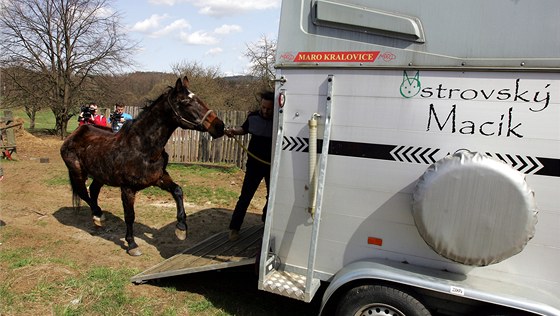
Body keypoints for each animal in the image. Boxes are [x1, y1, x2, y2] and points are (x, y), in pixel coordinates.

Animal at [61, 76, 225, 256]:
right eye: (185, 102)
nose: (219, 126)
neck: (142, 147)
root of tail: (74, 134)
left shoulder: (159, 178)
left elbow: (177, 191)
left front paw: (181, 228)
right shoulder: (127, 189)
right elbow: (130, 215)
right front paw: (132, 244)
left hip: (100, 175)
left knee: (94, 190)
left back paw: (98, 218)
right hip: (78, 173)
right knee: (84, 194)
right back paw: (98, 214)